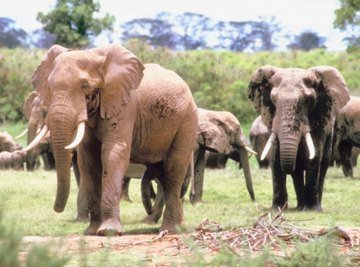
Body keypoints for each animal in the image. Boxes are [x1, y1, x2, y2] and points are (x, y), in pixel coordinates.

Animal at [25, 44, 198, 237]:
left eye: (84, 86)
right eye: (50, 86)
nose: (57, 209)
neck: (95, 57)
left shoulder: (125, 107)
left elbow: (113, 153)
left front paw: (108, 231)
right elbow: (88, 159)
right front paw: (91, 231)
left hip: (187, 121)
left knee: (174, 170)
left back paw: (170, 229)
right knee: (162, 174)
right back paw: (179, 226)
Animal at [248, 65, 348, 211]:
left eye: (309, 100)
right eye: (273, 100)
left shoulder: (319, 120)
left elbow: (313, 156)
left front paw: (311, 210)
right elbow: (275, 157)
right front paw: (277, 208)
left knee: (323, 164)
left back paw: (315, 207)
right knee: (298, 170)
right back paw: (300, 207)